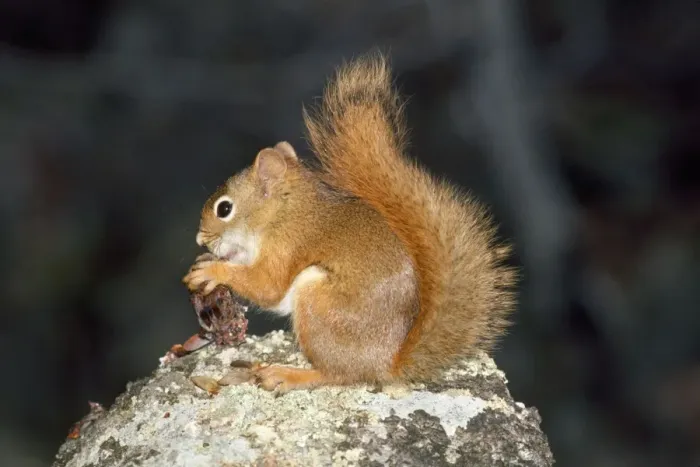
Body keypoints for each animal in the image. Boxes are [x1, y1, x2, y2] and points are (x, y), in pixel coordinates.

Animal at [183, 52, 517, 393]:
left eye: (225, 208)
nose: (200, 239)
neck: (285, 212)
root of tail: (385, 364)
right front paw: (205, 262)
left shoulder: (286, 246)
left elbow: (267, 286)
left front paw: (213, 271)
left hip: (320, 305)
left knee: (338, 375)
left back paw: (289, 375)